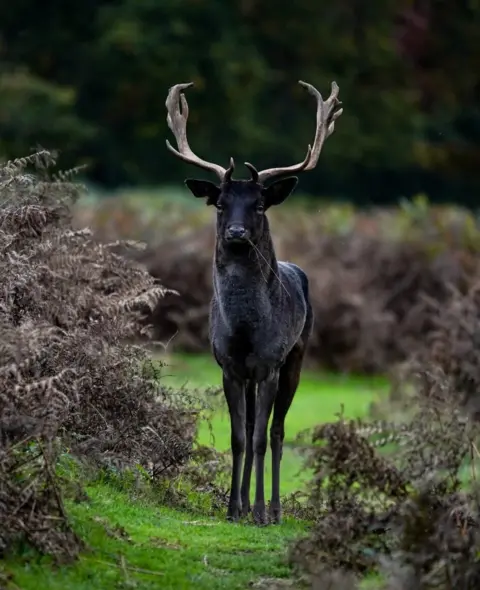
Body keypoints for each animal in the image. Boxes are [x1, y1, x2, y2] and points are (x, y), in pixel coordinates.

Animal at [167, 78, 344, 528]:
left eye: (259, 204)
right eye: (221, 203)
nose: (236, 232)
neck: (246, 329)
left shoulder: (268, 364)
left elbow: (263, 437)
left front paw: (262, 511)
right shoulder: (229, 366)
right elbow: (238, 437)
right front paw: (233, 508)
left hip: (297, 356)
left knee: (278, 431)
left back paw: (275, 510)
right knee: (250, 428)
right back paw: (246, 504)